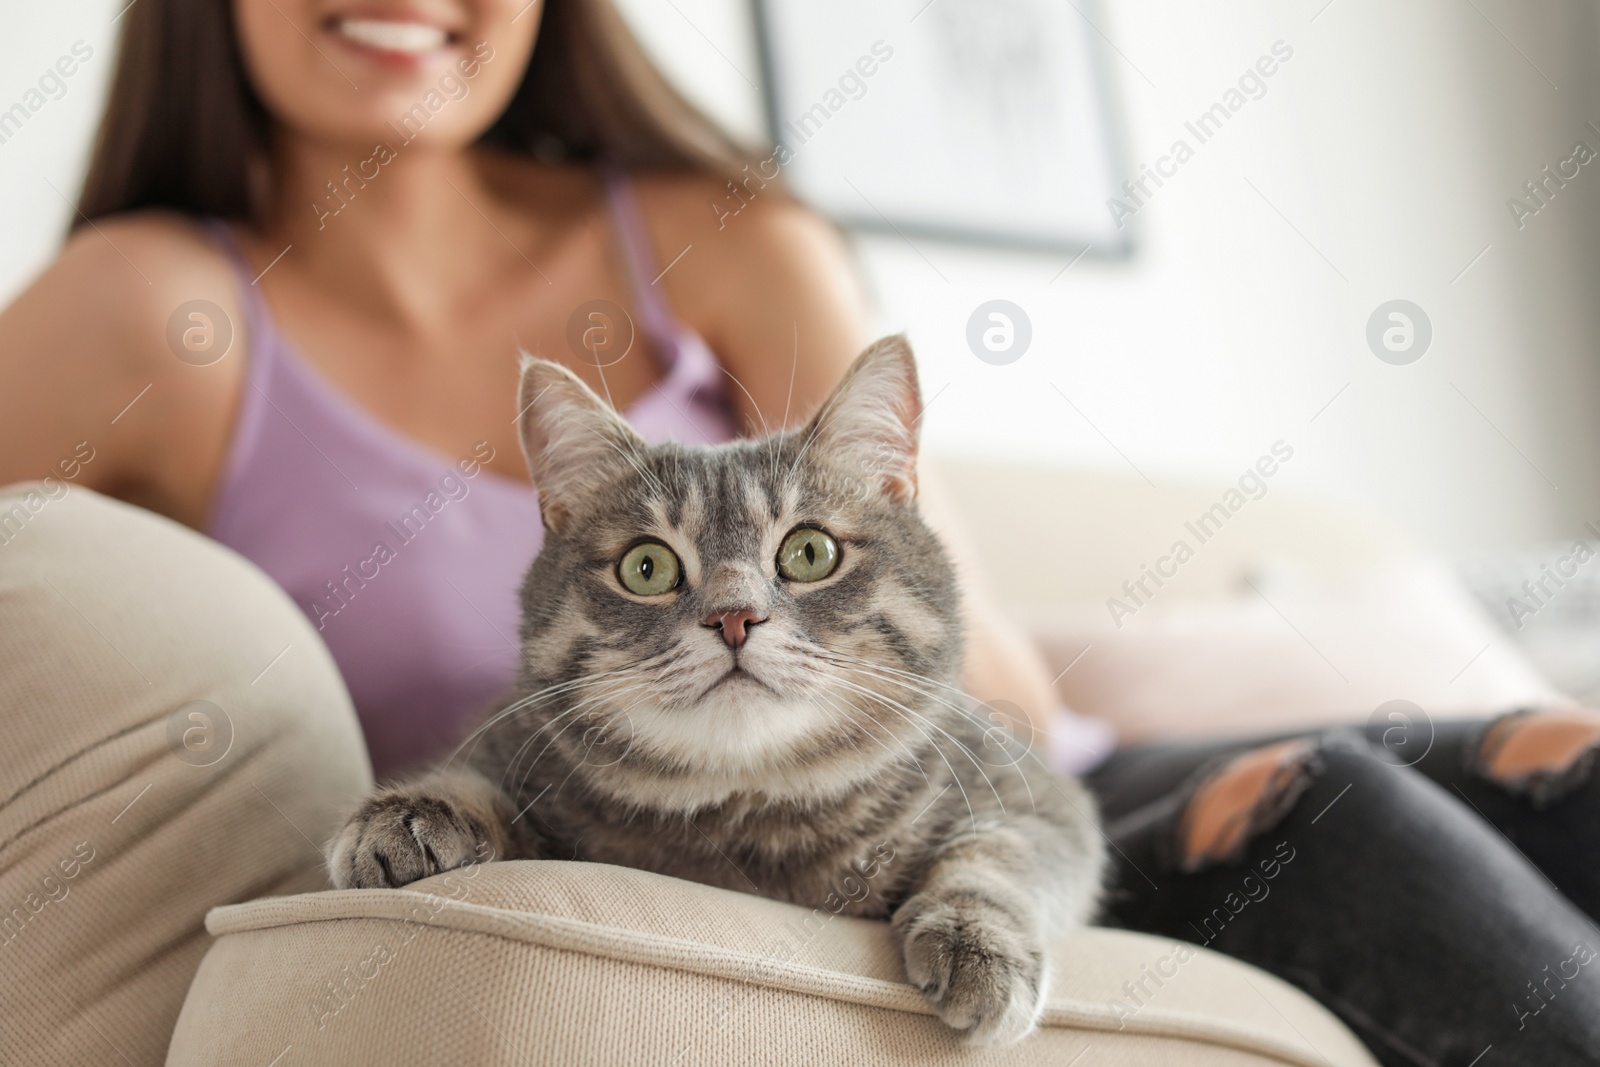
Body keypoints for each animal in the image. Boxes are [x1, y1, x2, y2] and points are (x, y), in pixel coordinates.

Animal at [324, 337, 1100, 1049]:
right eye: (646, 567)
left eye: (810, 552)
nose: (734, 616)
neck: (744, 814)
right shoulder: (508, 738)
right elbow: (471, 775)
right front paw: (412, 814)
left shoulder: (1033, 792)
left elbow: (1002, 853)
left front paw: (980, 941)